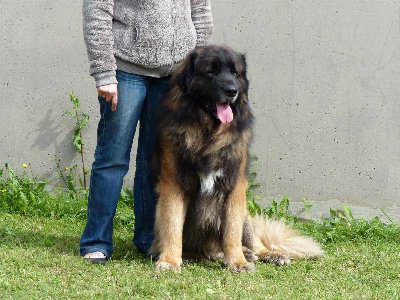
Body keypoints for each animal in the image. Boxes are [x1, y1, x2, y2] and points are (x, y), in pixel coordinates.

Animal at [150, 45, 322, 274]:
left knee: (256, 244)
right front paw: (169, 261)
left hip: (246, 216)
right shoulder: (174, 184)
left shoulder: (234, 187)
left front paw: (238, 262)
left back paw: (267, 254)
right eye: (211, 70)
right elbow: (172, 227)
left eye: (234, 72)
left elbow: (231, 232)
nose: (232, 91)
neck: (208, 133)